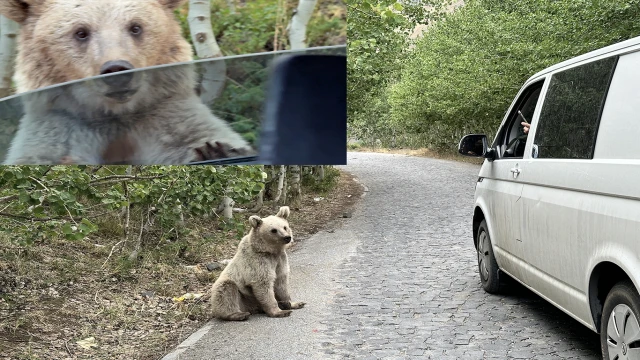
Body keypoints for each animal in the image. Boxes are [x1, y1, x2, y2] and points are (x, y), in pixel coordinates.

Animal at [0, 0, 255, 165]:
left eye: (135, 27)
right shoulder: (60, 127)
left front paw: (217, 150)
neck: (117, 114)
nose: (116, 70)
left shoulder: (168, 119)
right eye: (80, 32)